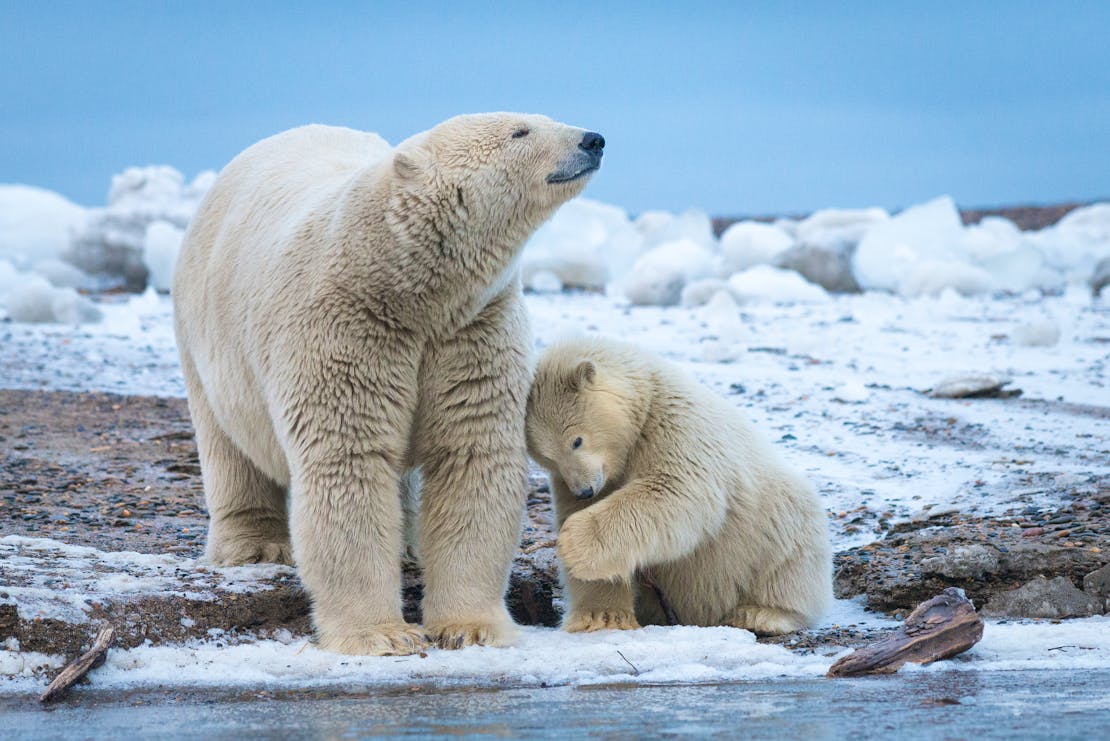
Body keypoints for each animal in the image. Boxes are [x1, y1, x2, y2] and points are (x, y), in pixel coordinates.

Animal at [175, 113, 608, 652]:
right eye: (521, 131)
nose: (594, 139)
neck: (400, 282)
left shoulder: (471, 328)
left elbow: (470, 455)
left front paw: (471, 627)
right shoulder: (344, 326)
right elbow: (349, 462)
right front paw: (382, 635)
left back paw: (405, 548)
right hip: (205, 331)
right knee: (228, 442)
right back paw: (255, 545)